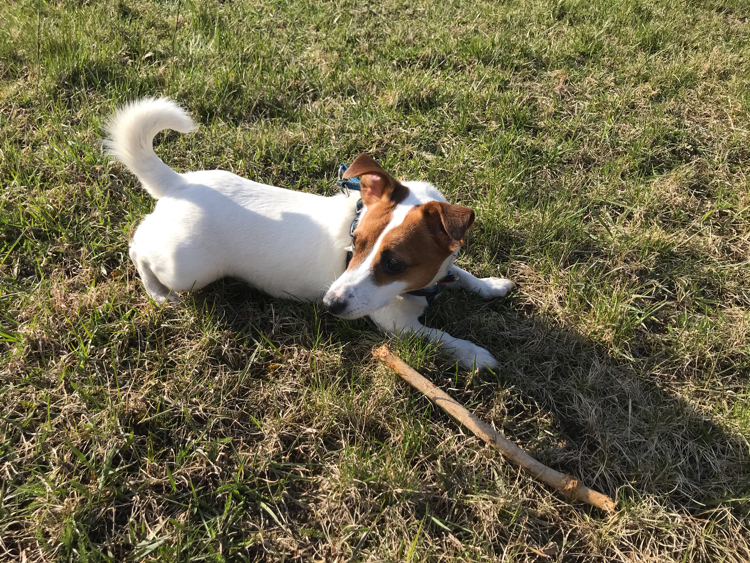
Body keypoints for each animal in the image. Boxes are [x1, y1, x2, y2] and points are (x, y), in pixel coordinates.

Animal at [107, 98, 516, 370]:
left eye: (395, 264)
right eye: (356, 243)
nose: (329, 304)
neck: (422, 287)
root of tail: (179, 184)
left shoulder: (444, 267)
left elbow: (463, 274)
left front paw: (490, 285)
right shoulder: (398, 327)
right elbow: (442, 338)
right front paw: (474, 353)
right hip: (188, 270)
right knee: (137, 247)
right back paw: (158, 293)